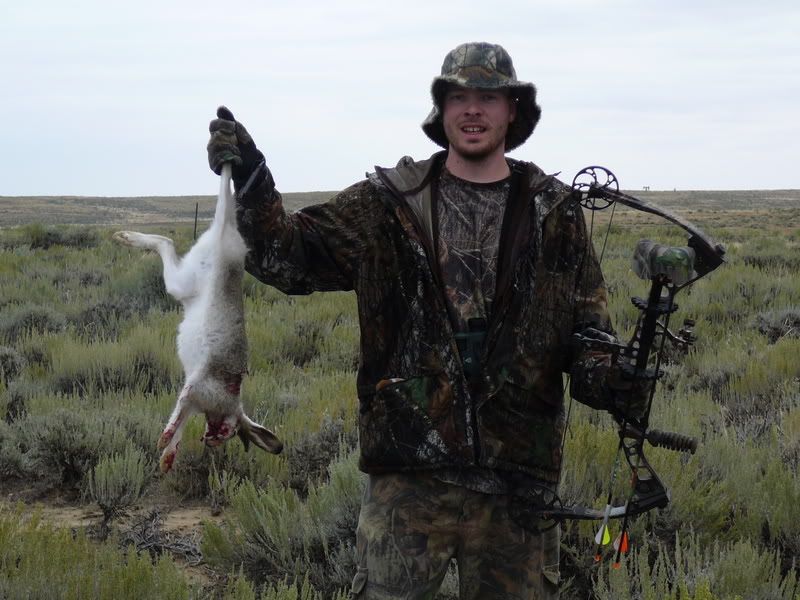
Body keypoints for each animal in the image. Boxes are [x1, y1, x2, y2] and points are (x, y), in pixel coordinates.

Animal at [113, 164, 283, 472]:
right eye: (228, 431)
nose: (211, 440)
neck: (228, 402)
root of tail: (230, 239)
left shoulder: (194, 398)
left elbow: (180, 425)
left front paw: (167, 459)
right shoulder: (195, 389)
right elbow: (178, 414)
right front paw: (164, 439)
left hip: (184, 284)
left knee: (166, 242)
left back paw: (126, 237)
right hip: (188, 276)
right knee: (211, 205)